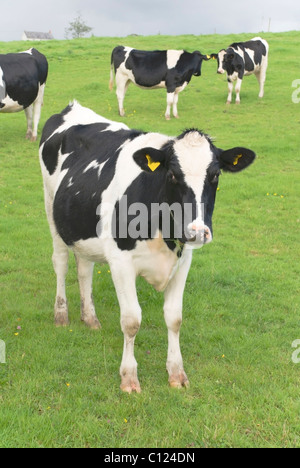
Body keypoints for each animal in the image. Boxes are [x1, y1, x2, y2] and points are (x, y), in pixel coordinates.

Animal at [39, 100, 255, 394]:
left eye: (215, 175)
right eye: (173, 174)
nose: (197, 231)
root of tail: (72, 107)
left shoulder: (183, 261)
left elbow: (174, 318)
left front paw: (176, 373)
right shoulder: (120, 261)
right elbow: (131, 320)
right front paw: (129, 378)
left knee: (84, 269)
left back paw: (90, 318)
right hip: (52, 209)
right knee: (60, 262)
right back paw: (61, 314)